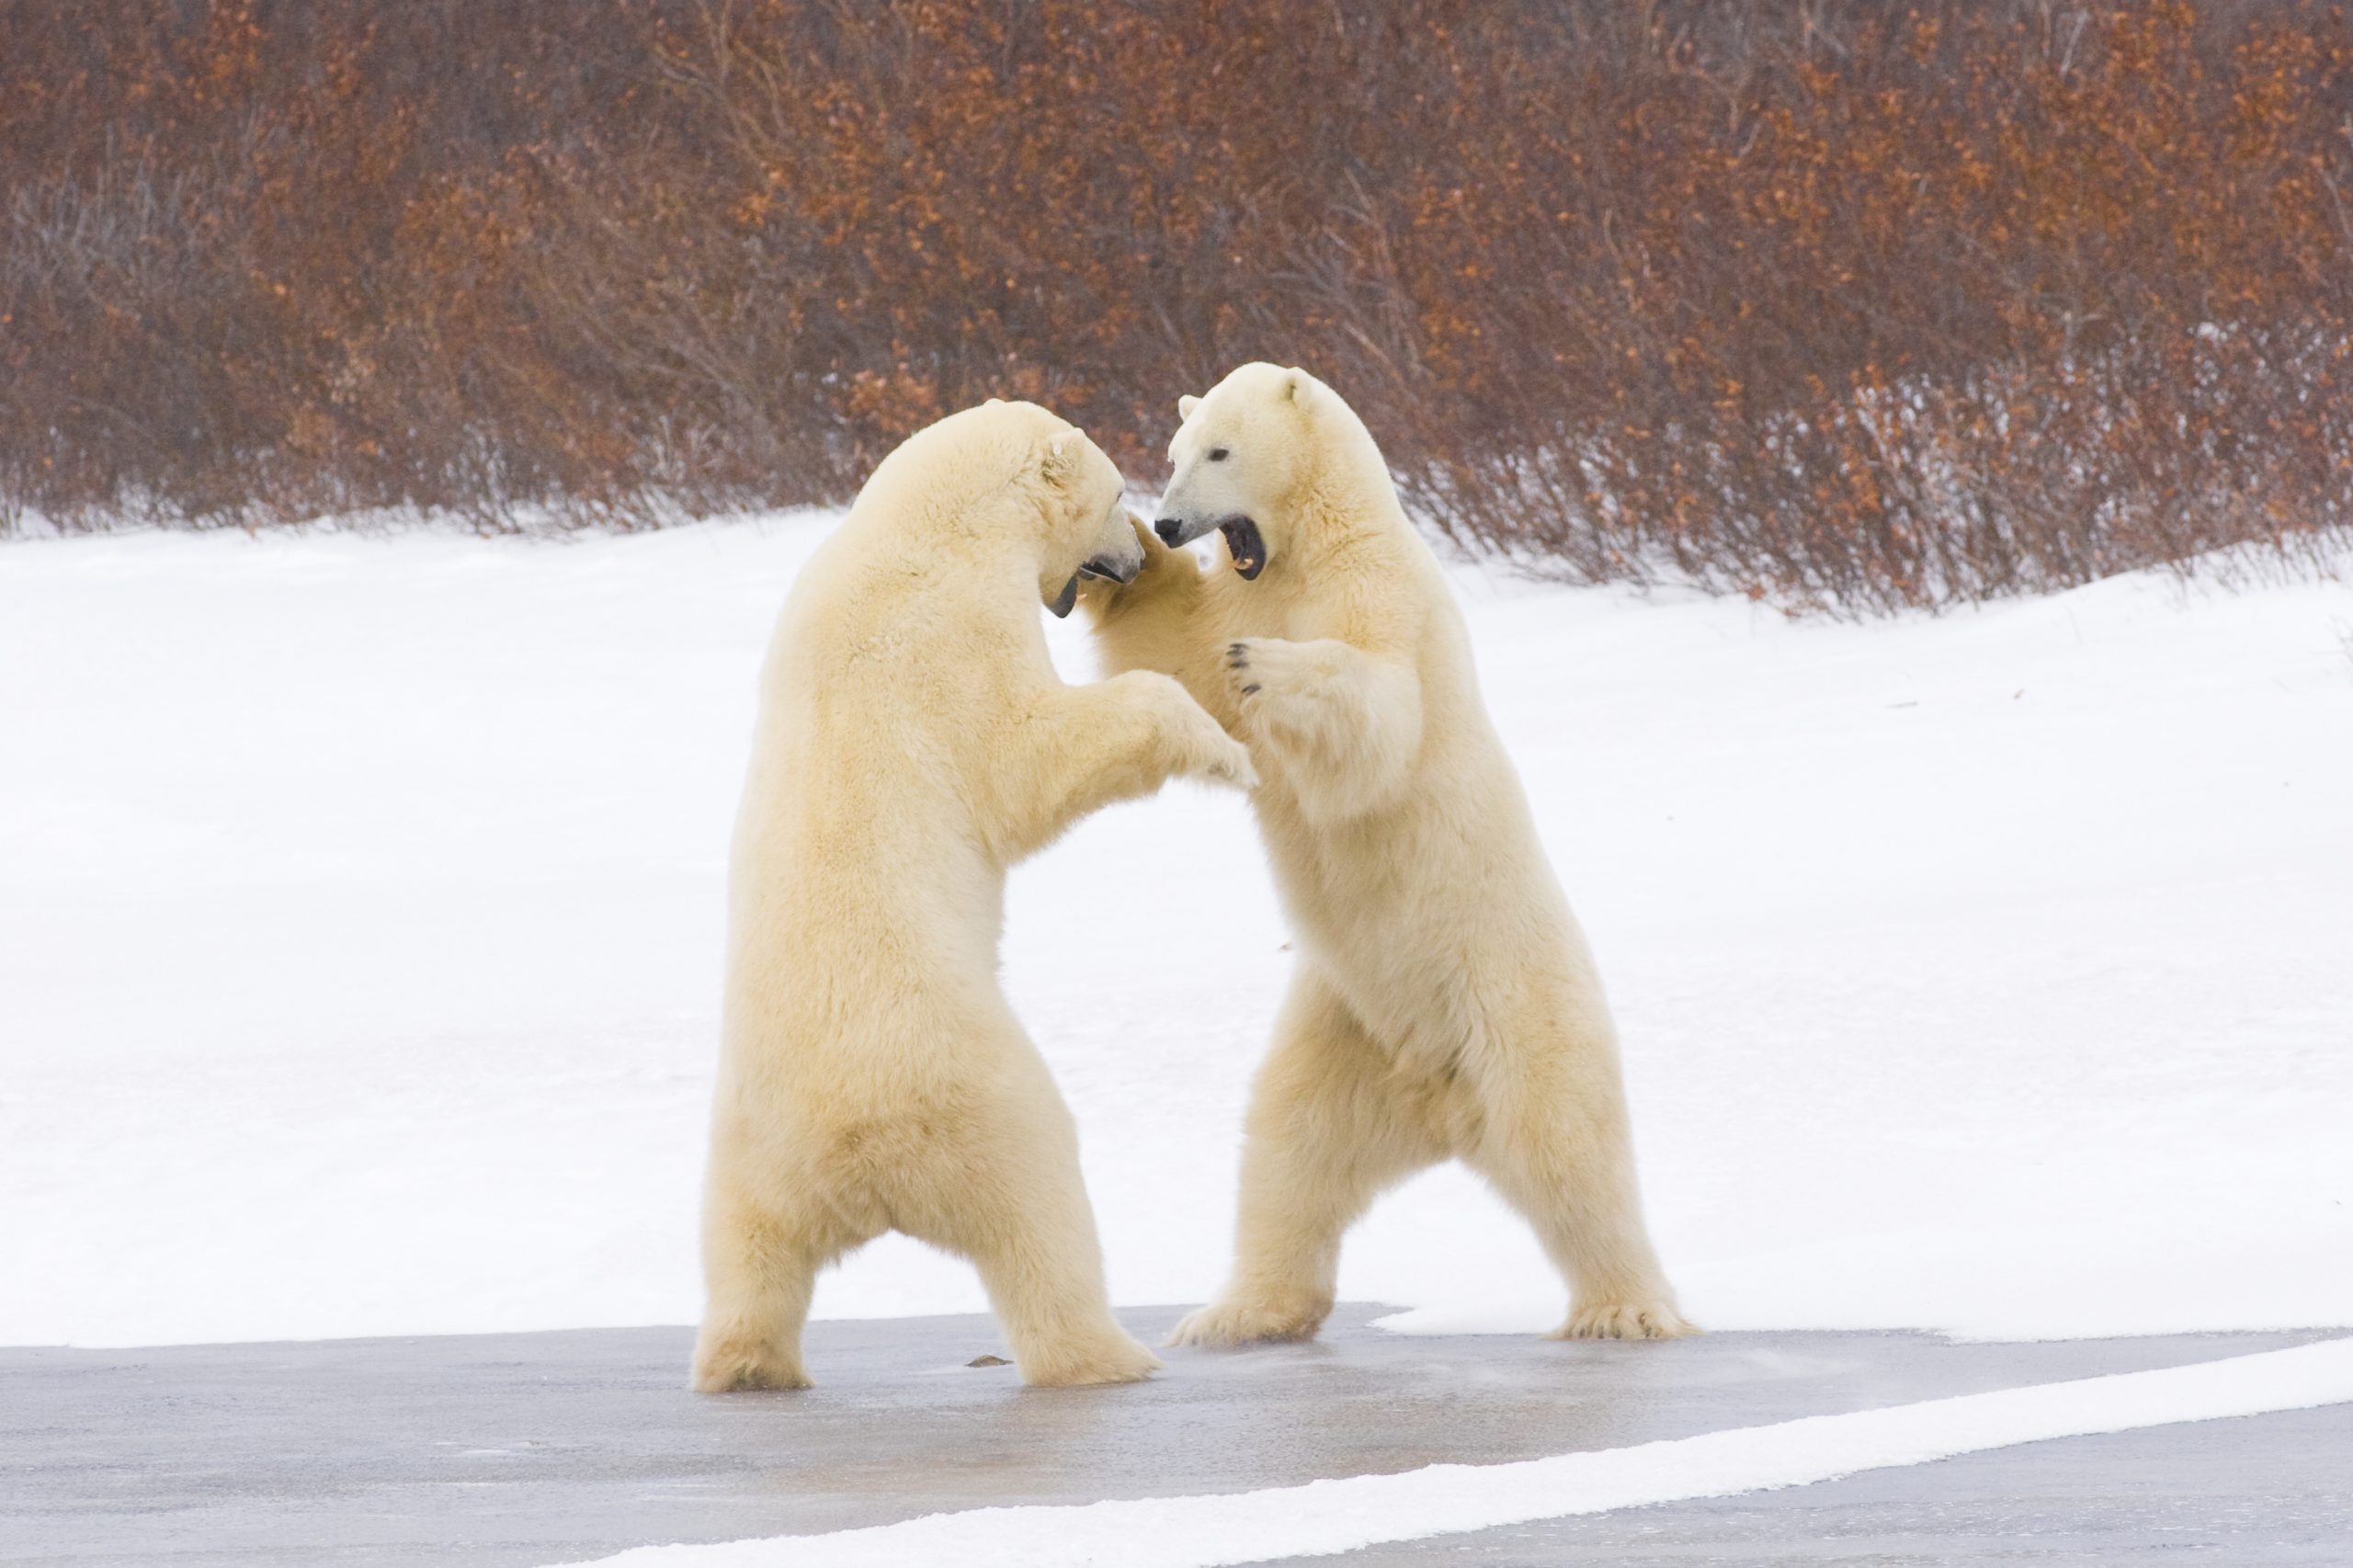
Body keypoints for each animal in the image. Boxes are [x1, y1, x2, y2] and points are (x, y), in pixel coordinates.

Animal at [692, 399, 1259, 1392]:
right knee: (1041, 1213)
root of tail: (858, 1164)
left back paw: (747, 1363)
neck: (927, 528)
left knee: (746, 1256)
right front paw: (1225, 752)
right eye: (1113, 492)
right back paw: (1112, 1353)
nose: (1138, 549)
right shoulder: (951, 636)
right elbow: (1026, 756)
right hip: (977, 1094)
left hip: (749, 1153)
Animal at [1081, 363, 1692, 1346]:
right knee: (1290, 1146)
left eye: (1220, 451)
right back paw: (1239, 1312)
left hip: (1513, 997)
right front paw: (1124, 555)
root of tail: (1441, 1103)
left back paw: (1625, 1307)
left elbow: (1376, 713)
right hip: (1346, 1024)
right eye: (1172, 455)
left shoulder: (1376, 592)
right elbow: (1180, 658)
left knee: (1565, 1143)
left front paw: (1267, 665)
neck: (1307, 546)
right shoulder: (1248, 592)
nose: (1172, 523)